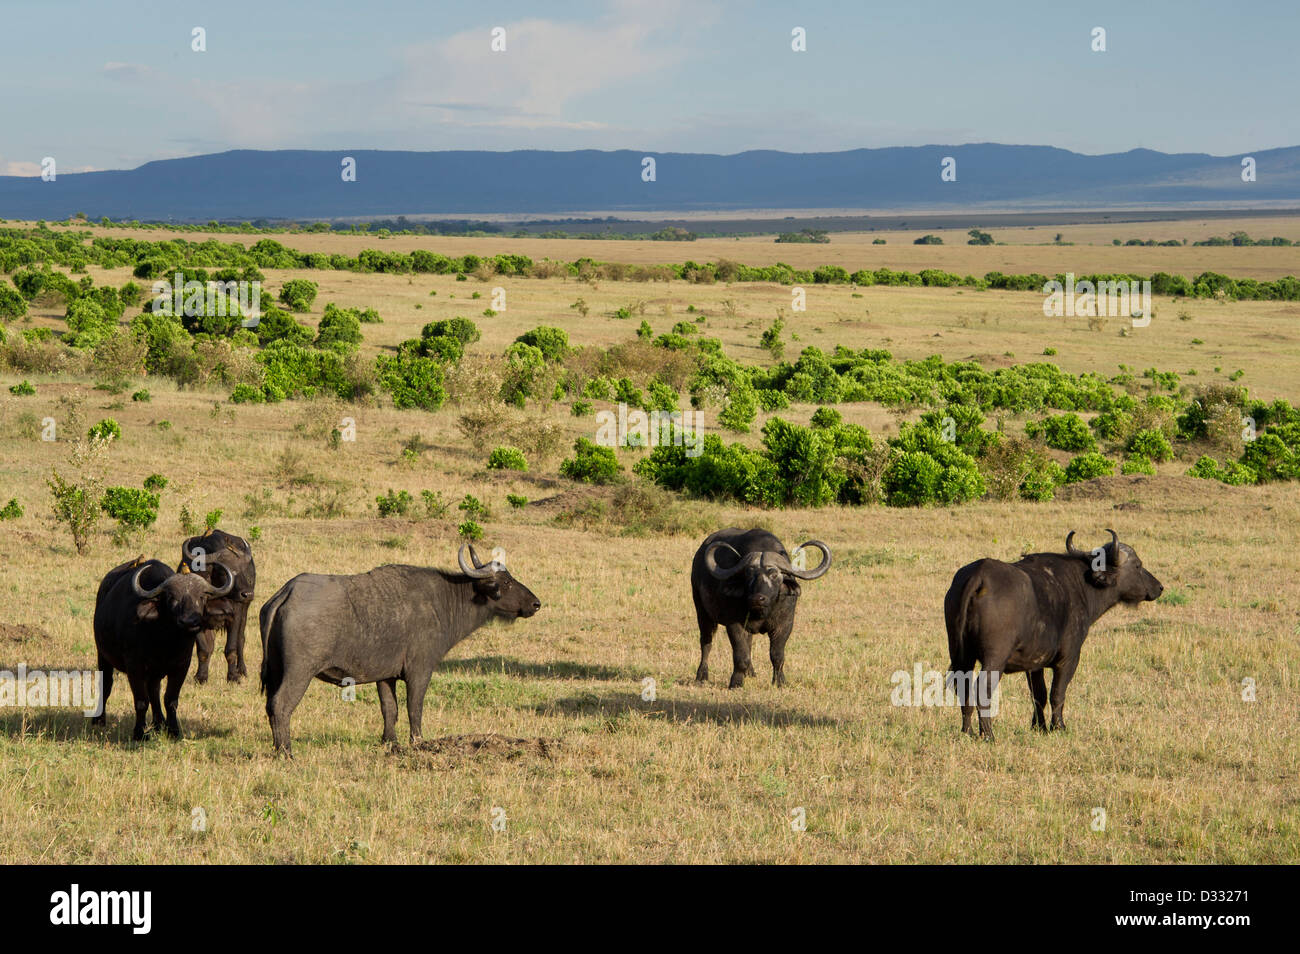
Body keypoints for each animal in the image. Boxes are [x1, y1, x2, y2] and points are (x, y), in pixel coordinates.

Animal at [92, 557, 235, 740]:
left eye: (201, 596)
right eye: (171, 597)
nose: (189, 621)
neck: (165, 641)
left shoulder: (181, 665)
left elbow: (170, 699)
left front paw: (173, 730)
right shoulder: (134, 666)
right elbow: (141, 701)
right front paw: (139, 733)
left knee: (154, 690)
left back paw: (158, 722)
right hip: (103, 655)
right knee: (106, 684)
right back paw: (99, 719)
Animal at [178, 529, 256, 683]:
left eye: (244, 569)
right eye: (227, 570)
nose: (248, 594)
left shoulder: (235, 615)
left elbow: (231, 648)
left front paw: (233, 677)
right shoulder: (197, 619)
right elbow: (204, 650)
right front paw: (201, 677)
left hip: (245, 610)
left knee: (241, 639)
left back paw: (242, 670)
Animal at [259, 544, 541, 756]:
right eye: (506, 581)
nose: (536, 603)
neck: (444, 601)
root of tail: (288, 592)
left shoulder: (386, 677)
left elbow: (389, 708)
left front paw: (390, 742)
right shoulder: (420, 672)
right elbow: (414, 708)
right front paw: (418, 741)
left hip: (275, 671)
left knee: (270, 706)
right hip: (299, 672)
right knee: (281, 705)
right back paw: (286, 752)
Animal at [691, 528, 832, 688]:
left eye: (774, 574)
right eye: (748, 574)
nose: (757, 598)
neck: (763, 611)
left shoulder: (785, 624)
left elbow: (777, 655)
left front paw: (780, 681)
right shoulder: (734, 625)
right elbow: (741, 654)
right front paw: (736, 682)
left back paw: (750, 673)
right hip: (702, 611)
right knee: (706, 643)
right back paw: (701, 676)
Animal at [944, 529, 1164, 741]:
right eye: (1138, 565)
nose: (1159, 587)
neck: (1082, 585)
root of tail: (980, 575)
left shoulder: (1034, 664)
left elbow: (1038, 695)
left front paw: (1039, 727)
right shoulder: (1069, 659)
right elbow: (1057, 693)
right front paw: (1058, 726)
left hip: (960, 654)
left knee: (963, 688)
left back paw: (967, 731)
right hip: (995, 658)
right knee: (982, 689)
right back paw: (988, 735)